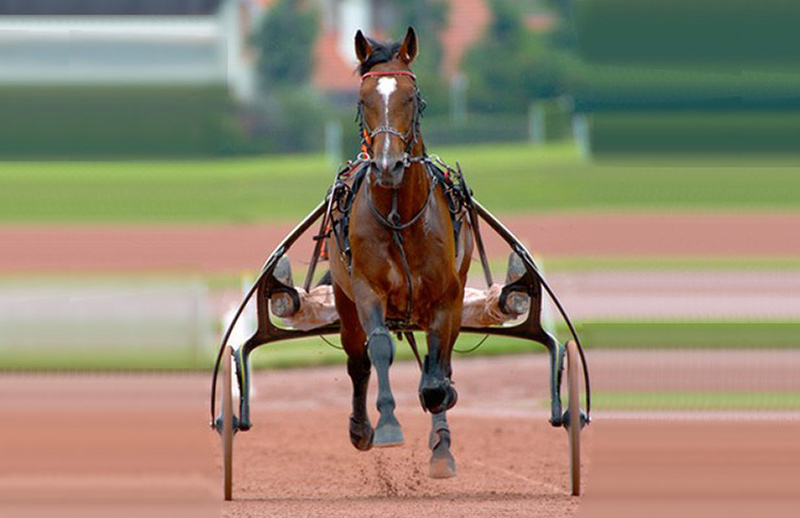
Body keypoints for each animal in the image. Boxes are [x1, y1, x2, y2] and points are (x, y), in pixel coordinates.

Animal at [327, 27, 473, 479]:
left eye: (412, 97)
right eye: (363, 99)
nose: (388, 165)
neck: (398, 215)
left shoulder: (447, 296)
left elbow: (438, 370)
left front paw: (441, 439)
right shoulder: (366, 289)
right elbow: (378, 349)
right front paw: (387, 424)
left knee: (440, 362)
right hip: (344, 301)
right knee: (358, 361)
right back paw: (361, 428)